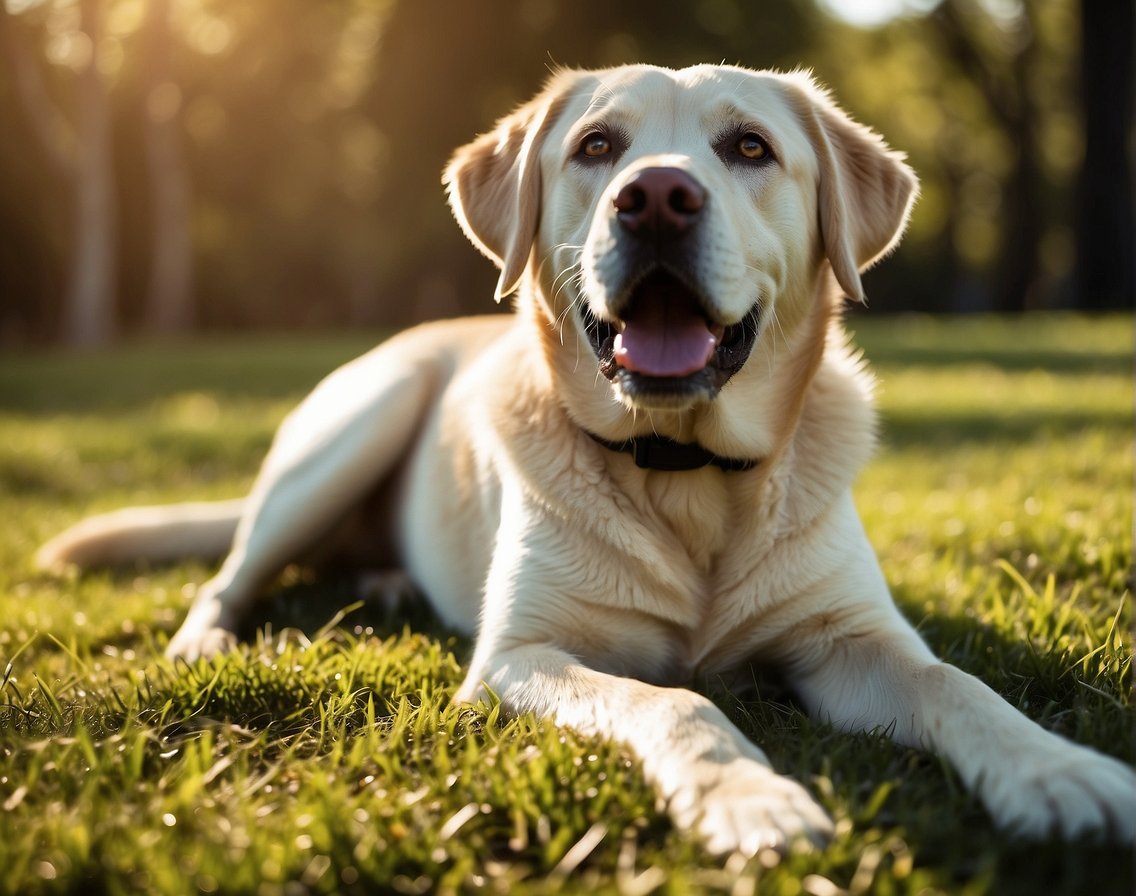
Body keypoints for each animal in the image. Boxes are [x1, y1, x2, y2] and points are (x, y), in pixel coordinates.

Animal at [37, 64, 1136, 853]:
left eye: (749, 147)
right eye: (596, 146)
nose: (655, 197)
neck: (684, 471)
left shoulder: (850, 638)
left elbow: (958, 685)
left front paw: (1059, 772)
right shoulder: (524, 655)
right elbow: (679, 698)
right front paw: (751, 798)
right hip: (356, 424)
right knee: (231, 571)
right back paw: (206, 644)